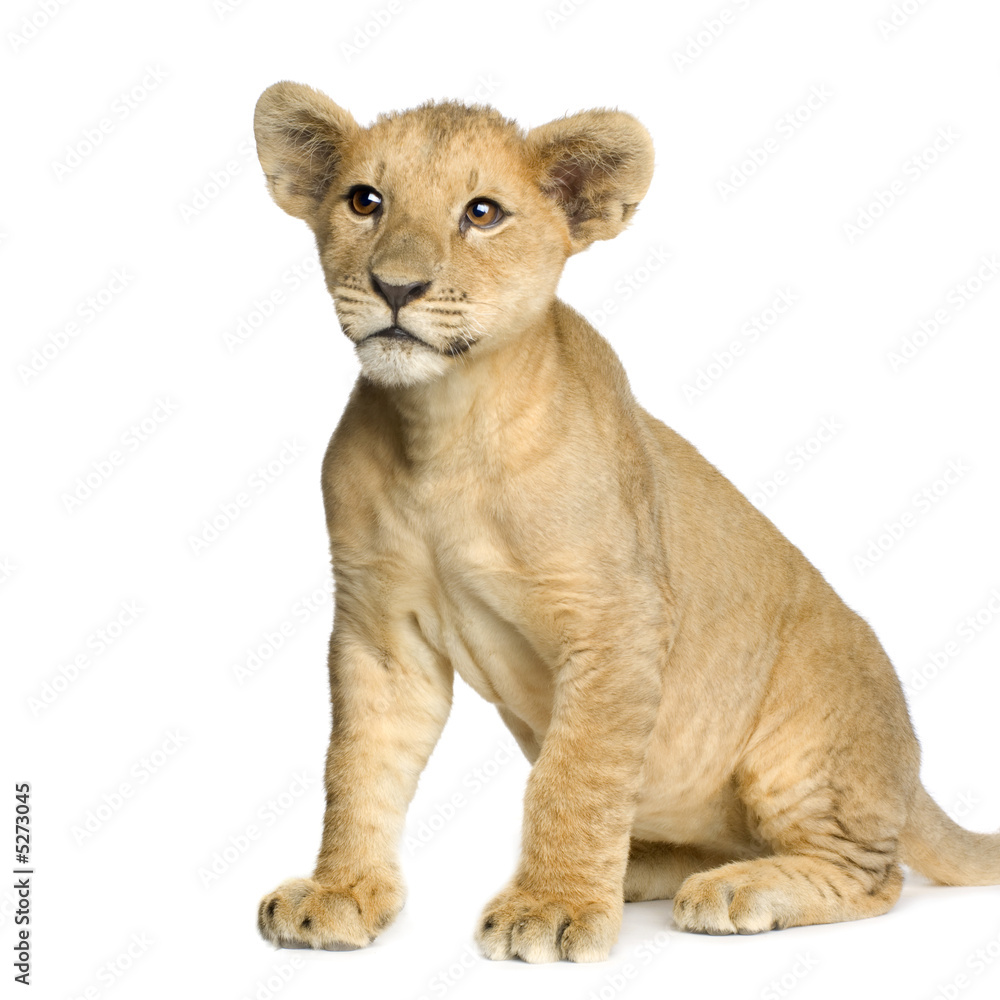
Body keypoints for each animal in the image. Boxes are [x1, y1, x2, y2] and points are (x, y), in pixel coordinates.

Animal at [251, 81, 1000, 963]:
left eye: (481, 213)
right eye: (364, 201)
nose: (396, 287)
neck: (441, 430)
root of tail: (910, 775)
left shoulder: (617, 620)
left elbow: (575, 775)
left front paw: (550, 908)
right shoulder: (380, 630)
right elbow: (359, 767)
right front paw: (339, 892)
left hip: (804, 746)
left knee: (874, 875)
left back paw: (735, 889)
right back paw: (649, 868)